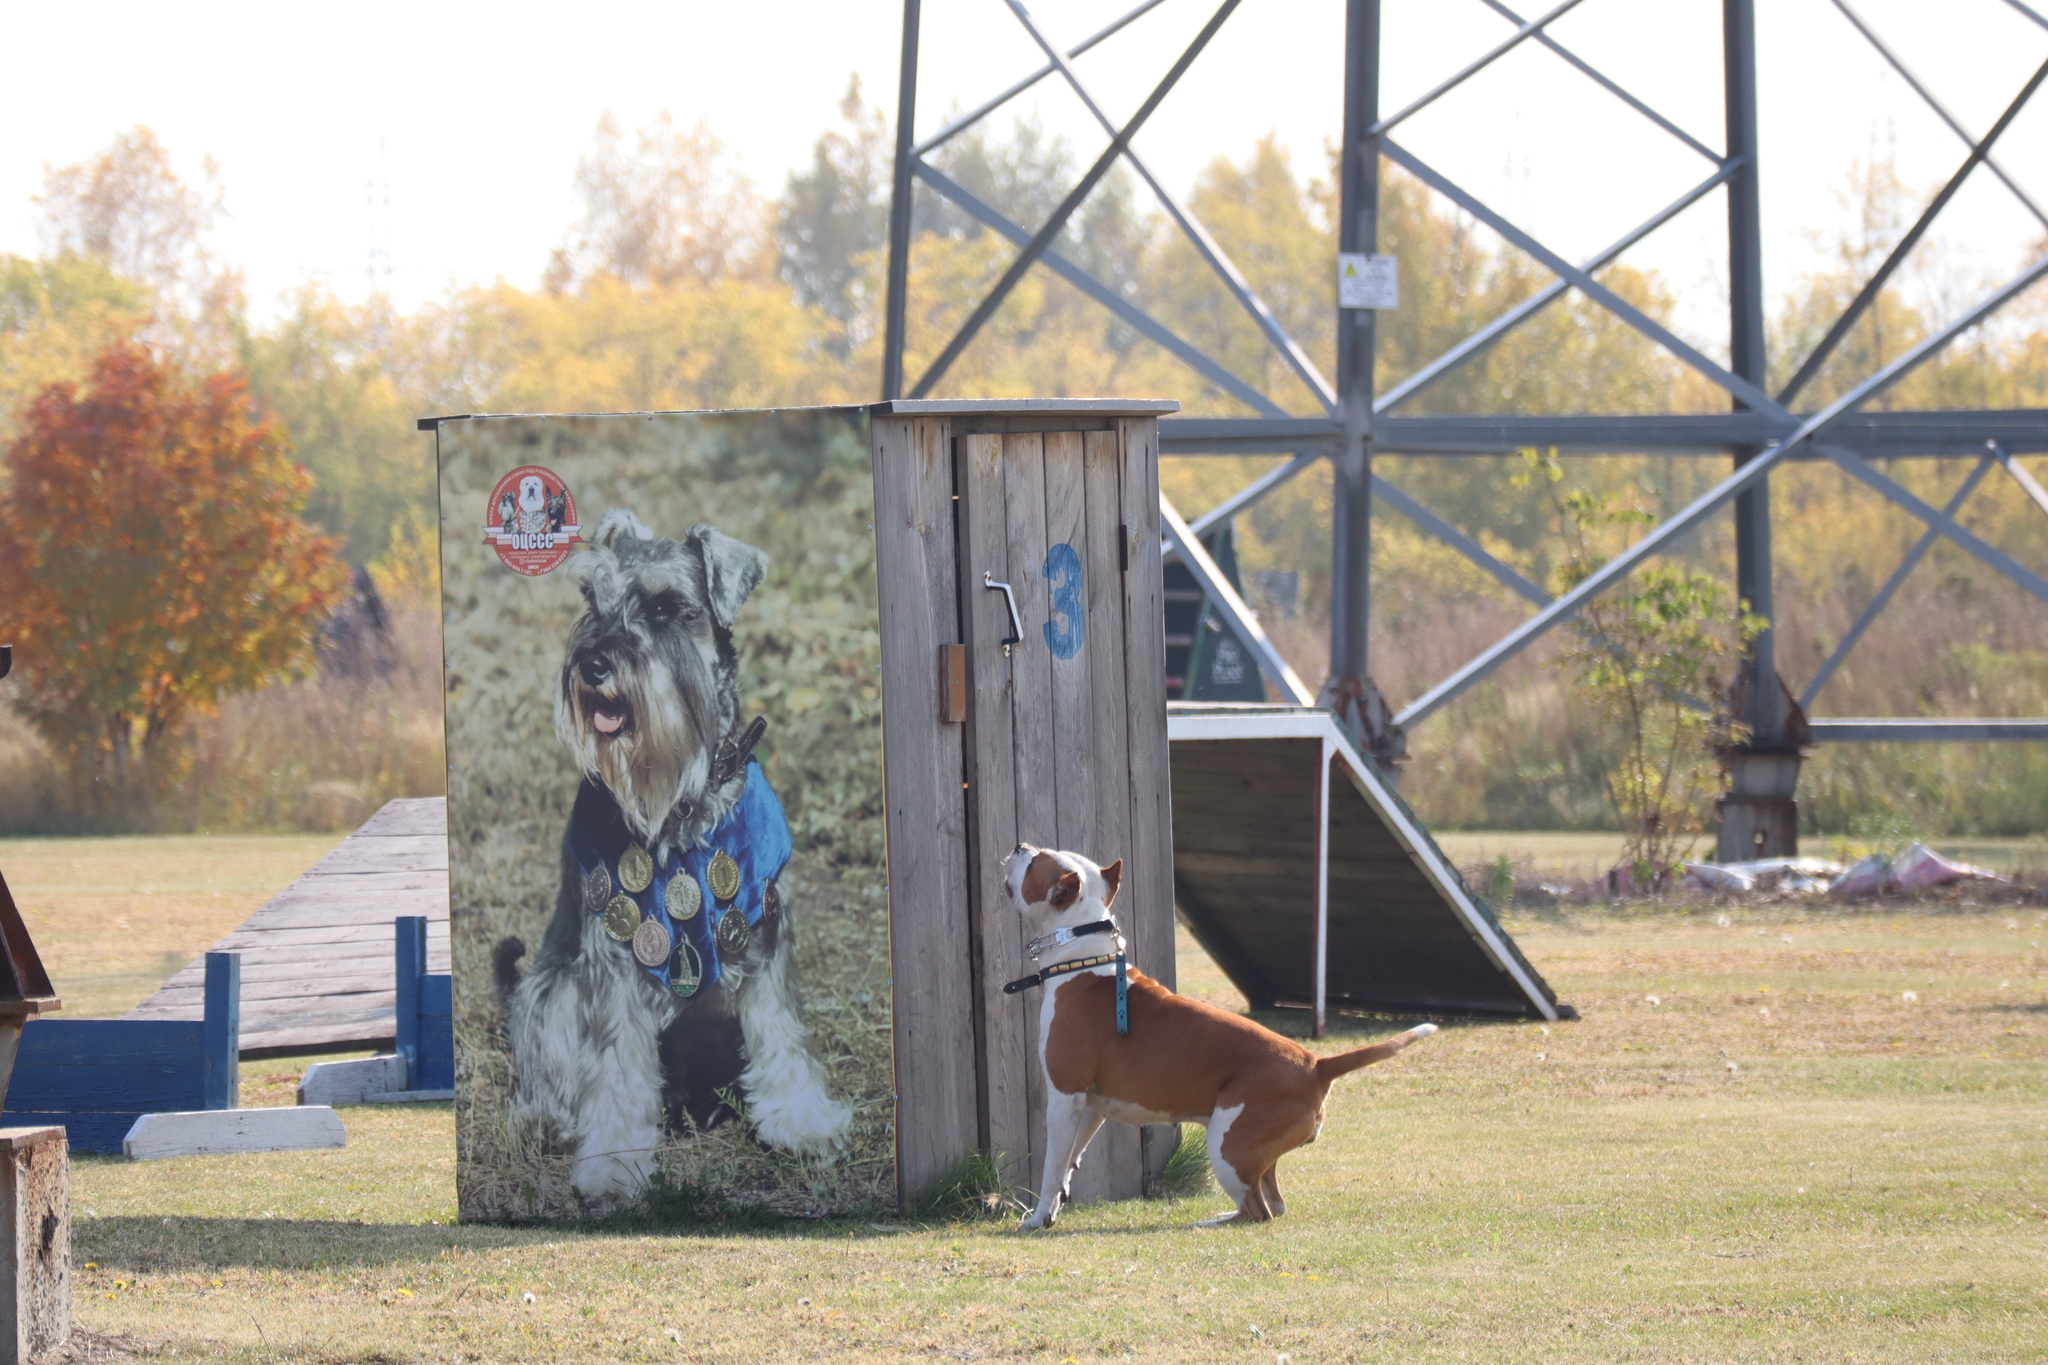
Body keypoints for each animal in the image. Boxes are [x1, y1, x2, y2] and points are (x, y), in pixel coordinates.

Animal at [1007, 843, 1441, 1227]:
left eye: (1037, 860)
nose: (1019, 846)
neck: (1082, 960)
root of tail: (1316, 1065)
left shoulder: (1065, 1096)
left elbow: (1051, 1166)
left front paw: (1039, 1217)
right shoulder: (1092, 1106)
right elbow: (1069, 1162)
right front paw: (1055, 1207)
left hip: (1226, 1145)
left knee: (1259, 1212)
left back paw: (1206, 1223)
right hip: (1251, 1150)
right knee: (1273, 1203)